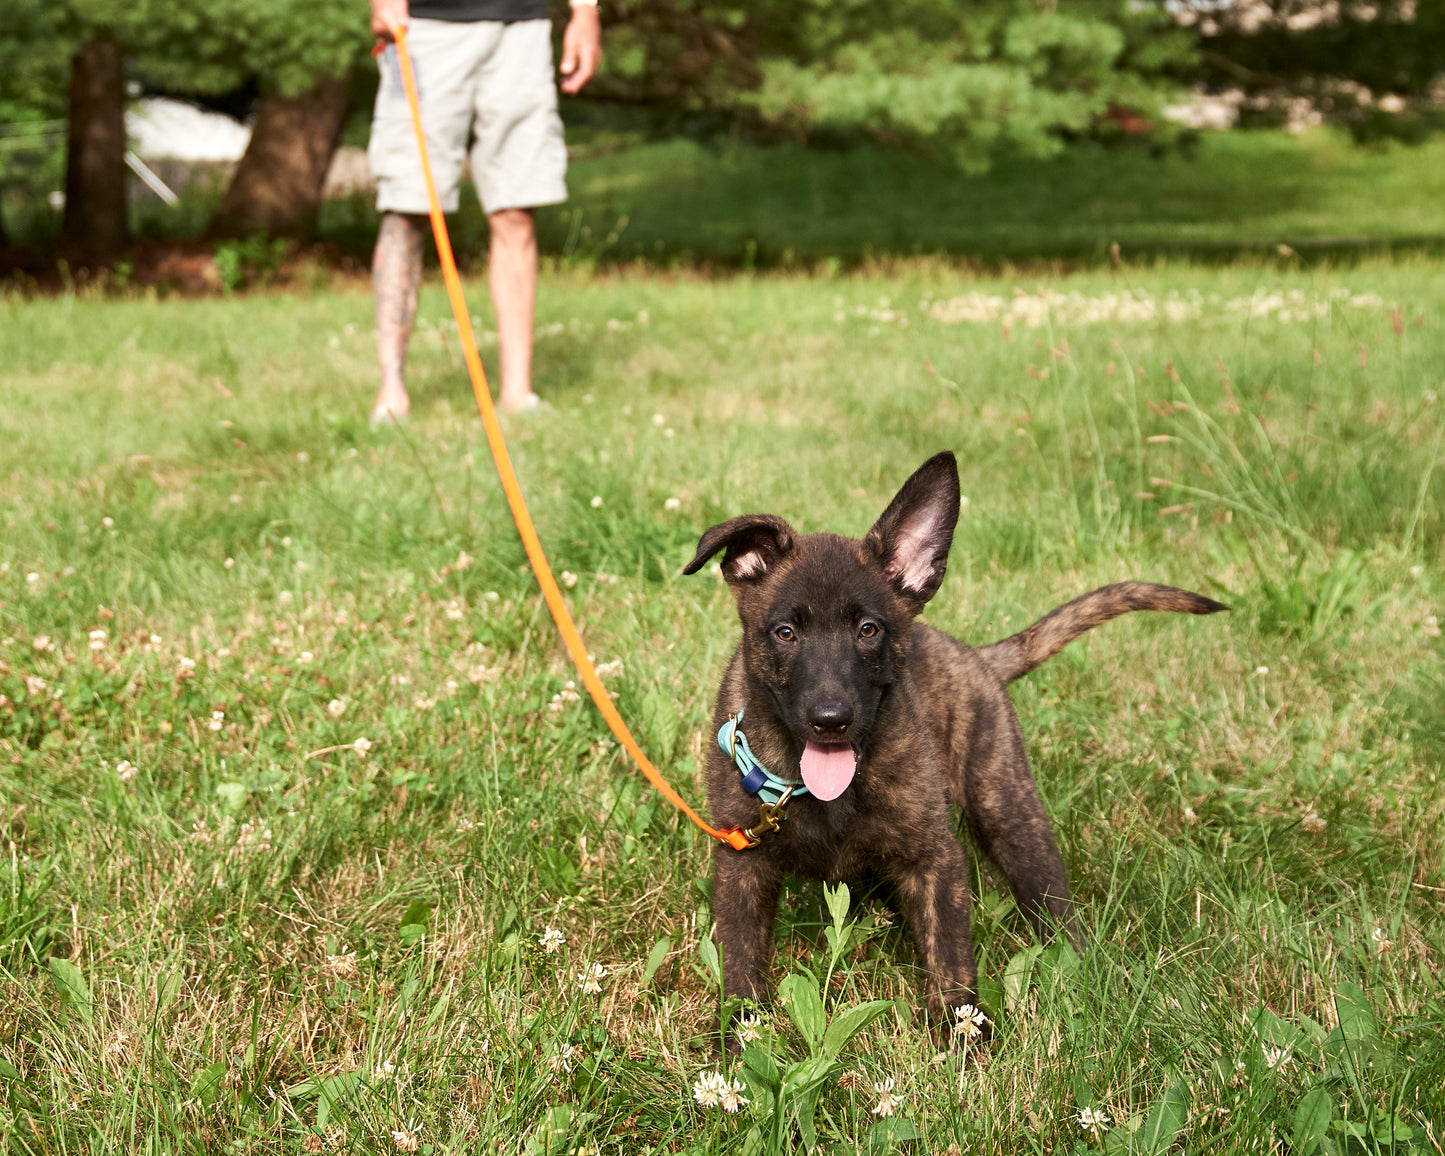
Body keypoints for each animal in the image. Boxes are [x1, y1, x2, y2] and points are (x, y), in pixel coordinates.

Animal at [682, 453, 1225, 1046]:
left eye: (868, 629)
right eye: (785, 632)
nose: (830, 719)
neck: (819, 789)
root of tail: (977, 657)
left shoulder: (934, 857)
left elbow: (950, 953)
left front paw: (962, 1040)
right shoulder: (742, 861)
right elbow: (741, 960)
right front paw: (741, 1043)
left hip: (1008, 811)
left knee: (1055, 908)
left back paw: (1083, 974)